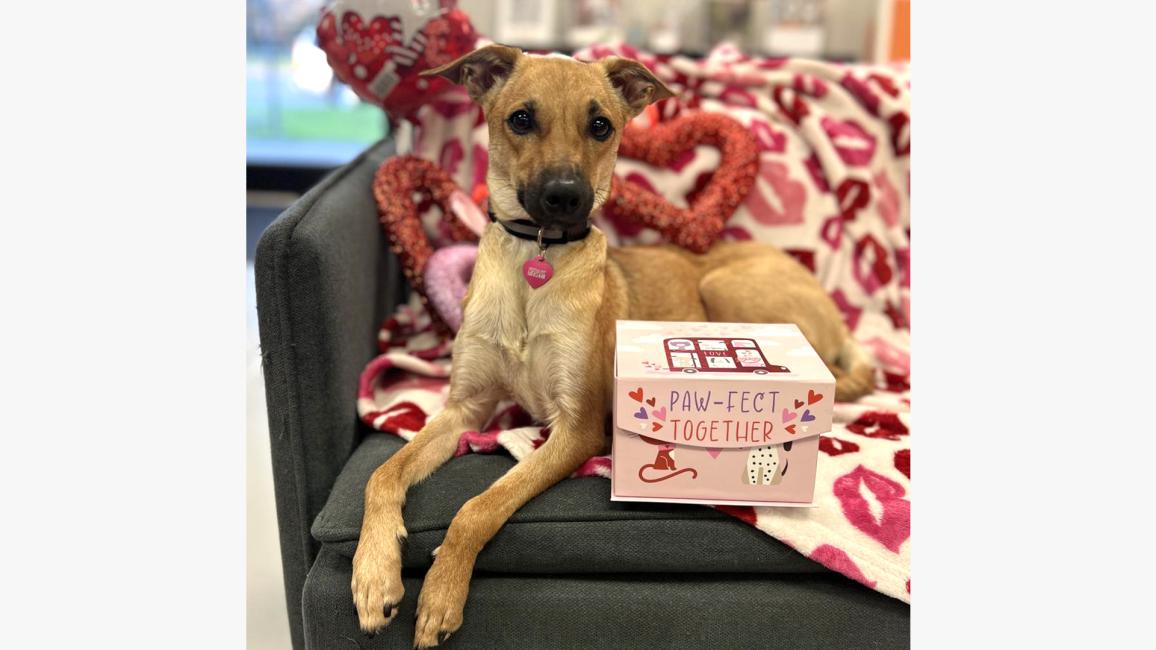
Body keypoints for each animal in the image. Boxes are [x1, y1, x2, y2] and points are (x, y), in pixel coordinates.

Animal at [351, 44, 873, 643]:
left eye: (600, 126)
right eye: (521, 119)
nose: (565, 197)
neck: (538, 258)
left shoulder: (576, 431)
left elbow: (478, 507)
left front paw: (440, 593)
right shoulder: (465, 408)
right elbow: (382, 474)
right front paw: (374, 574)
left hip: (727, 289)